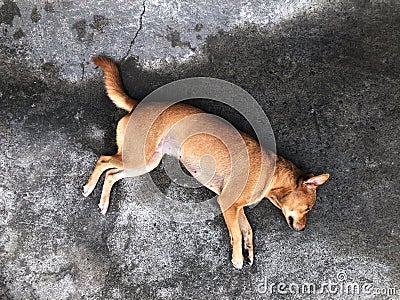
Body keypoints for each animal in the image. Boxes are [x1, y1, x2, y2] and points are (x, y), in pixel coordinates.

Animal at [83, 56, 330, 270]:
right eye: (308, 208)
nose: (302, 229)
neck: (273, 174)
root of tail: (139, 104)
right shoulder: (228, 204)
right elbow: (237, 233)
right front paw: (237, 258)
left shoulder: (237, 208)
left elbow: (247, 230)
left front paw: (249, 251)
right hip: (138, 157)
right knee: (104, 160)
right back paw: (89, 187)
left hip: (145, 162)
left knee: (112, 174)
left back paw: (104, 202)